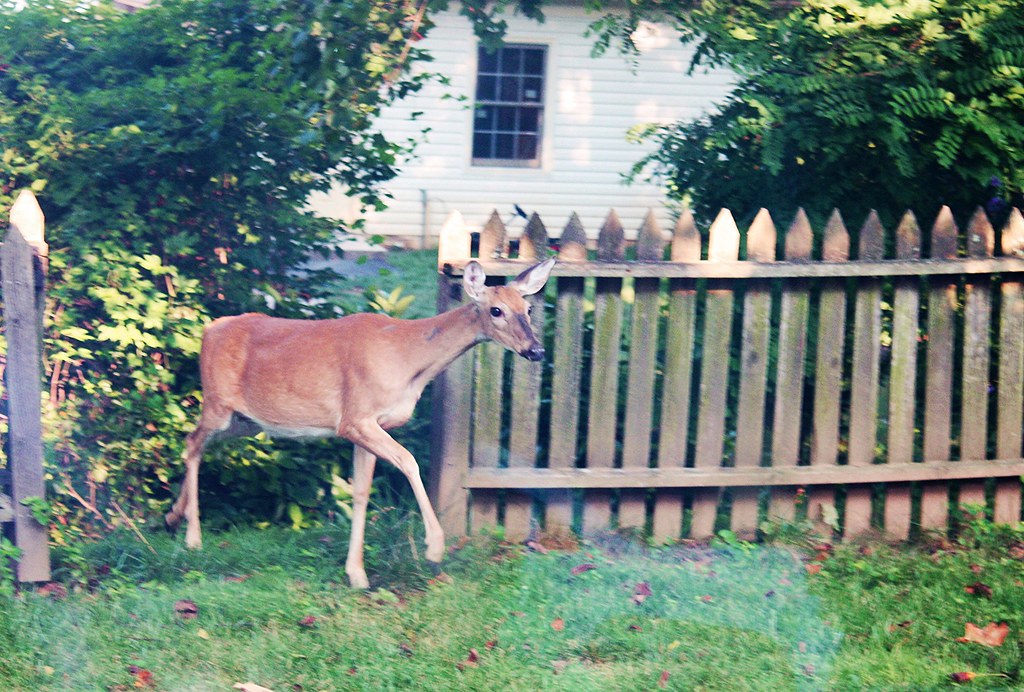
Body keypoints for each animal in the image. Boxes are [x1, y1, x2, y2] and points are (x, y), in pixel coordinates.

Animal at [164, 256, 557, 585]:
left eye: (528, 307)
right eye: (495, 310)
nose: (536, 350)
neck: (409, 359)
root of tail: (209, 329)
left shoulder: (368, 427)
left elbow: (360, 493)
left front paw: (356, 573)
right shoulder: (356, 418)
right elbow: (410, 462)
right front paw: (434, 547)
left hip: (247, 421)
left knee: (195, 444)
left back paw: (173, 515)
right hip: (218, 403)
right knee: (191, 442)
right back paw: (193, 536)